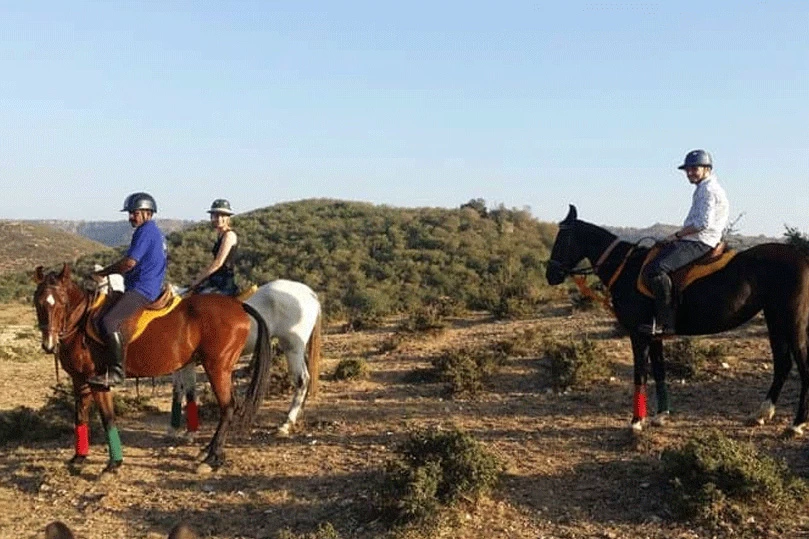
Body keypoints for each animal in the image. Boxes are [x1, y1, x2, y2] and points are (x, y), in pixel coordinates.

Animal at [33, 264, 274, 474]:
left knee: (228, 407)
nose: (48, 344)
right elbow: (80, 416)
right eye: (38, 302)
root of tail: (238, 305)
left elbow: (108, 419)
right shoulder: (79, 380)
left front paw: (113, 464)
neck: (82, 322)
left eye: (62, 302)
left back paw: (212, 457)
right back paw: (209, 452)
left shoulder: (98, 382)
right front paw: (79, 457)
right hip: (222, 369)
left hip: (217, 368)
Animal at [168, 280, 322, 440]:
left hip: (293, 348)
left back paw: (286, 424)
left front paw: (189, 432)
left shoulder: (188, 364)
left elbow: (189, 391)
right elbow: (177, 390)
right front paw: (174, 429)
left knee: (302, 380)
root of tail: (310, 293)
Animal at [544, 206, 808, 434]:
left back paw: (796, 424)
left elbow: (640, 374)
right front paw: (661, 415)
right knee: (783, 365)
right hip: (775, 320)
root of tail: (802, 258)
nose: (551, 275)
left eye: (562, 239)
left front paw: (636, 421)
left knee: (801, 366)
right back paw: (762, 413)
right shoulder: (654, 335)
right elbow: (659, 371)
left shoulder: (638, 334)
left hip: (792, 321)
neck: (626, 268)